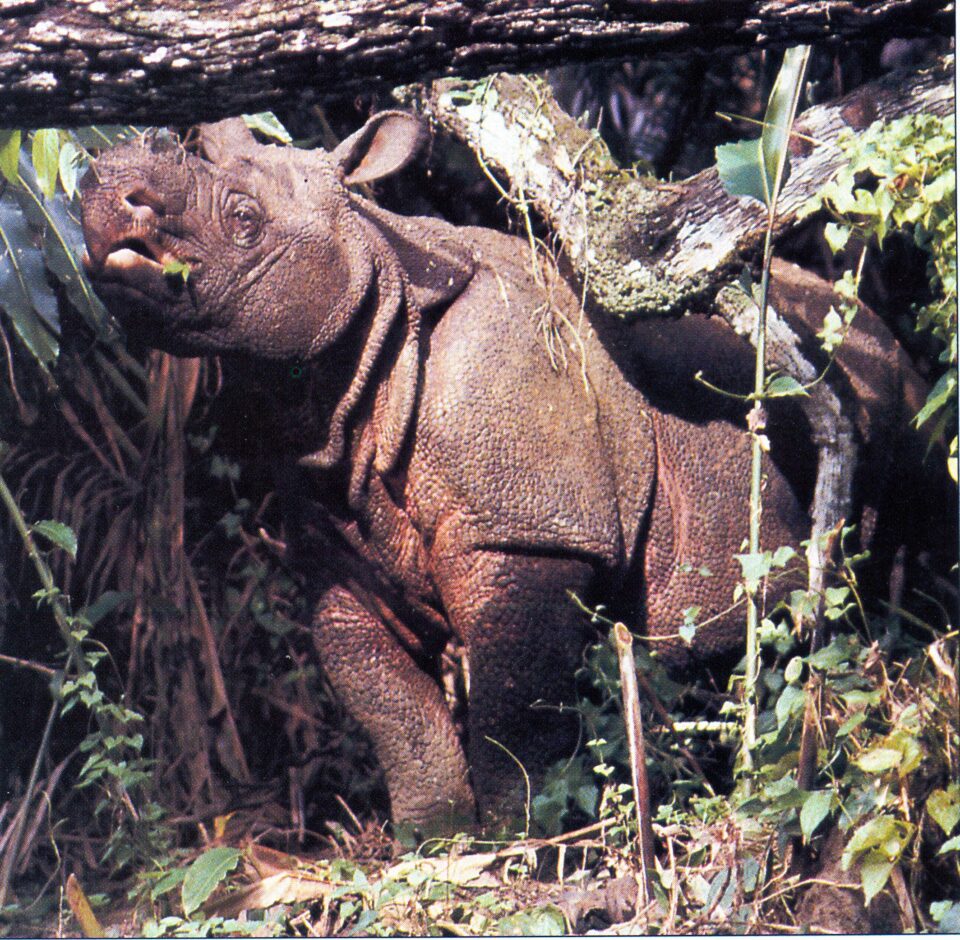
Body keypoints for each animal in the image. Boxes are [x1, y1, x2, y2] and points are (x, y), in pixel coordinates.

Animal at [79, 112, 934, 830]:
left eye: (243, 219)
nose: (103, 200)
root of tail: (885, 337)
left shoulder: (528, 525)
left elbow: (516, 698)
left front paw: (519, 833)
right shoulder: (339, 550)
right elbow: (392, 708)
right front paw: (430, 837)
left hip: (879, 394)